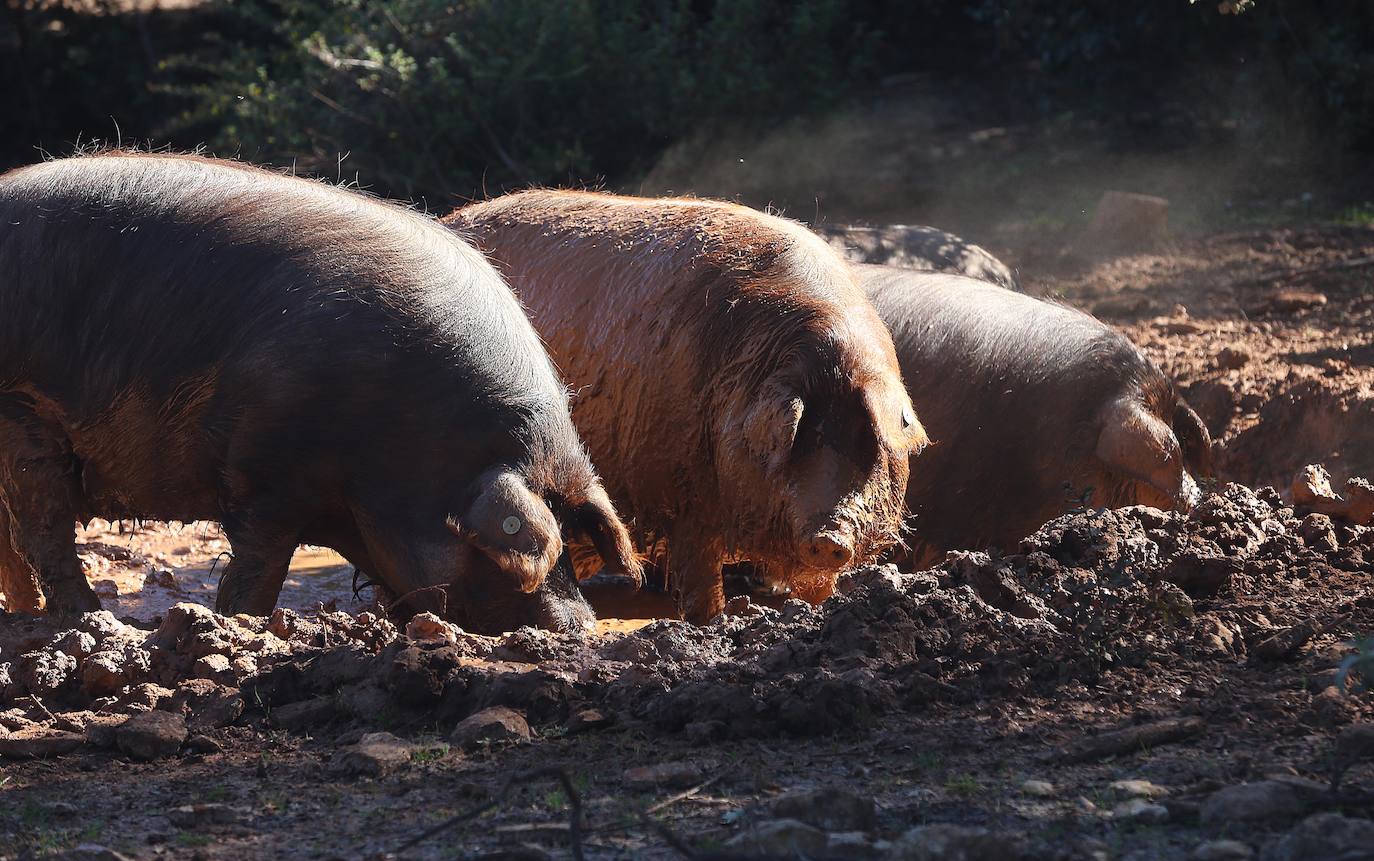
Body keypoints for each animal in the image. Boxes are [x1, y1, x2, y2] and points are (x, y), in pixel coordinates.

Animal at [0, 153, 640, 634]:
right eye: (521, 554)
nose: (581, 625)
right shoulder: (264, 470)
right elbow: (260, 563)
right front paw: (241, 625)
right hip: (23, 410)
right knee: (43, 525)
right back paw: (89, 622)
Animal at [445, 192, 928, 623]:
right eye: (805, 436)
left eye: (866, 443)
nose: (832, 535)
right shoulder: (684, 498)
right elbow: (700, 580)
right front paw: (713, 621)